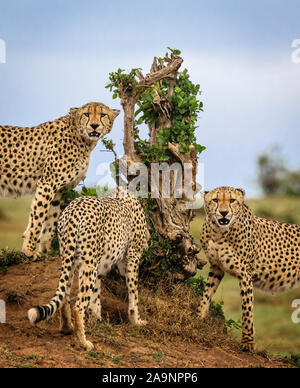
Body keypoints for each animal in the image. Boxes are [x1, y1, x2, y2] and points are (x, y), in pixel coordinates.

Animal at [0, 103, 119, 260]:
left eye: (103, 115)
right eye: (86, 114)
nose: (94, 125)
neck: (83, 140)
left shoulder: (60, 190)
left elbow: (51, 220)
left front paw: (46, 251)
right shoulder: (47, 184)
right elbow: (38, 217)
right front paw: (29, 250)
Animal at [28, 196, 150, 350]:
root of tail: (74, 208)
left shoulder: (100, 265)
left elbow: (95, 297)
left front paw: (95, 320)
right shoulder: (133, 257)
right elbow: (134, 292)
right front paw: (137, 321)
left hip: (71, 259)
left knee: (65, 295)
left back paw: (67, 328)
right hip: (88, 263)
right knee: (79, 305)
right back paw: (83, 342)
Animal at [198, 186, 298, 354]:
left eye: (232, 200)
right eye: (215, 200)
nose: (224, 212)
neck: (219, 232)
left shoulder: (245, 274)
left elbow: (247, 310)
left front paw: (248, 343)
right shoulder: (216, 267)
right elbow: (206, 294)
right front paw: (198, 317)